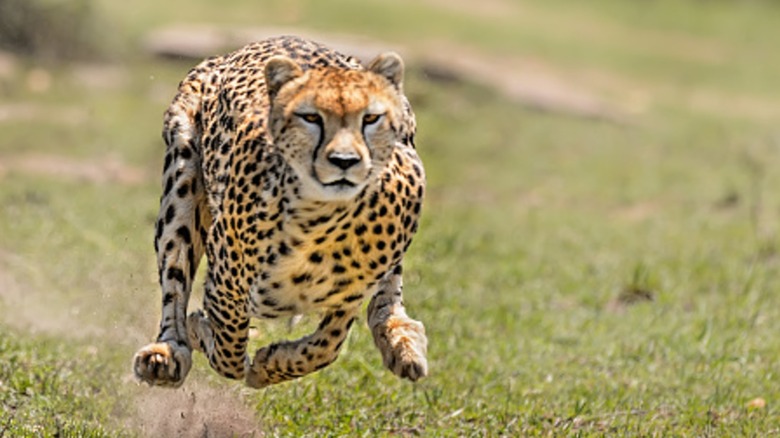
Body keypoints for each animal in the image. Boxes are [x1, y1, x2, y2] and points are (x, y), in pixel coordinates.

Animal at [132, 35, 428, 389]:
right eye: (311, 118)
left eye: (370, 119)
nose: (344, 161)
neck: (323, 222)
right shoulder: (226, 283)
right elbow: (228, 350)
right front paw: (202, 333)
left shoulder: (350, 296)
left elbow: (326, 346)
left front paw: (270, 364)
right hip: (182, 179)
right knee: (175, 278)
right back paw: (166, 352)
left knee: (388, 295)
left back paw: (402, 341)